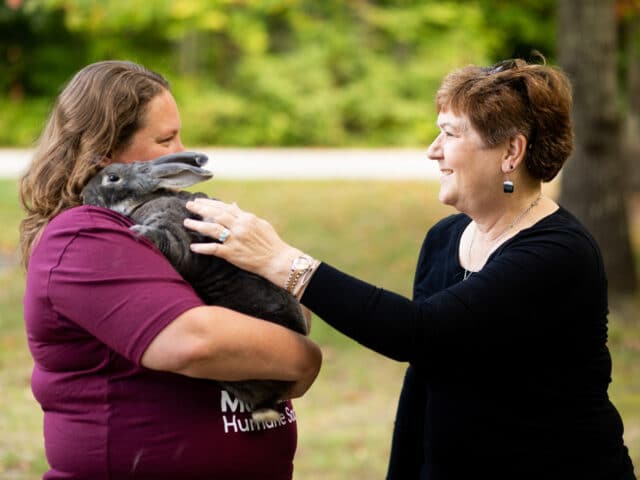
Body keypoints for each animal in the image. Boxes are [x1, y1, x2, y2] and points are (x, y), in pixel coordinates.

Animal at [80, 152, 308, 422]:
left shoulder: (176, 233)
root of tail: (269, 401)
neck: (146, 198)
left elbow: (168, 241)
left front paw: (139, 232)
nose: (83, 195)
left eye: (113, 178)